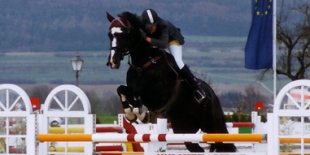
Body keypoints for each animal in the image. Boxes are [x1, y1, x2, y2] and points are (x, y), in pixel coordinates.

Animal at [105, 11, 236, 153]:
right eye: (109, 34)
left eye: (124, 34)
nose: (113, 62)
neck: (144, 64)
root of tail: (213, 95)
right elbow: (121, 89)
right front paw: (131, 115)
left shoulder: (157, 95)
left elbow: (138, 92)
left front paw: (139, 113)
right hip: (183, 127)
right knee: (195, 147)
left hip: (211, 125)